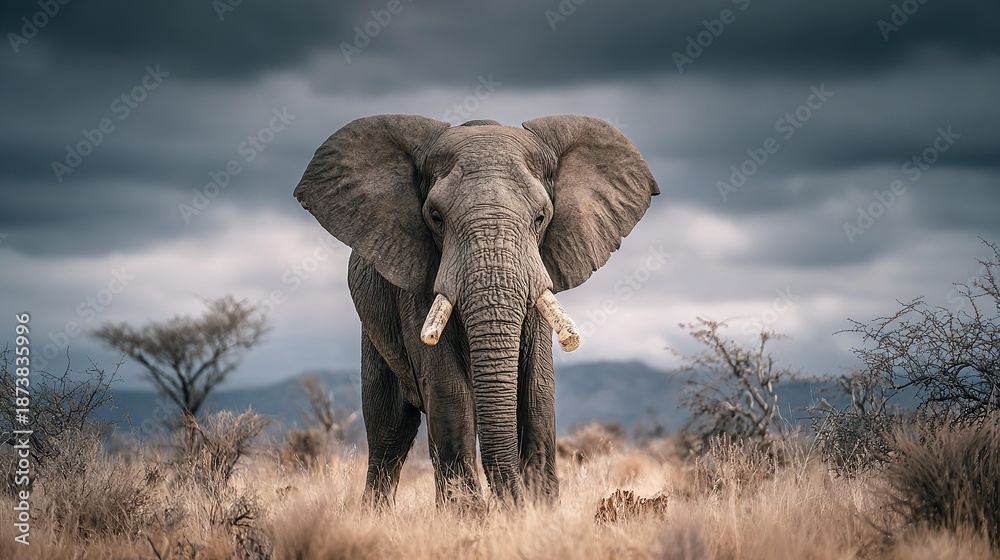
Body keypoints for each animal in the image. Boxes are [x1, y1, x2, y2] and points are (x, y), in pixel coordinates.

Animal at [294, 114, 658, 507]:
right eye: (435, 217)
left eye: (541, 217)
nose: (514, 505)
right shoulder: (419, 281)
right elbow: (448, 387)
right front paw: (469, 515)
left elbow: (537, 388)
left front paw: (540, 508)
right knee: (389, 427)